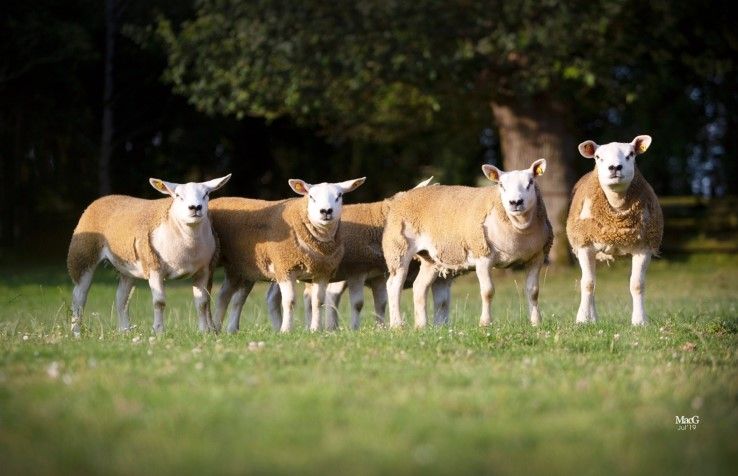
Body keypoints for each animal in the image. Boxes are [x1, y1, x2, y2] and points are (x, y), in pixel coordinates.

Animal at [66, 174, 232, 337]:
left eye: (206, 194)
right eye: (178, 196)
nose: (195, 207)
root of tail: (105, 198)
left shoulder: (203, 270)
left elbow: (202, 302)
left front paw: (204, 333)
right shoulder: (154, 268)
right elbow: (159, 302)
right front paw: (159, 332)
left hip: (128, 267)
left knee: (121, 299)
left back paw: (125, 331)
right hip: (82, 255)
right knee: (79, 297)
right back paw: (76, 333)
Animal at [209, 177, 366, 333]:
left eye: (339, 196)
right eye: (311, 197)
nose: (326, 211)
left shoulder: (322, 272)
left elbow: (317, 302)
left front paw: (315, 329)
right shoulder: (285, 267)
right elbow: (289, 301)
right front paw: (286, 330)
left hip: (243, 268)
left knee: (230, 296)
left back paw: (227, 329)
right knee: (225, 295)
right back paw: (216, 328)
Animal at [382, 160, 553, 328]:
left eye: (530, 182)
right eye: (501, 185)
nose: (515, 202)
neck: (519, 230)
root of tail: (405, 194)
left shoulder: (537, 257)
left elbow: (533, 291)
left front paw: (536, 323)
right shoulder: (482, 255)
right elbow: (487, 291)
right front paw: (485, 323)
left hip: (430, 259)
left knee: (419, 287)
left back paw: (421, 326)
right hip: (398, 248)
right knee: (393, 286)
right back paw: (397, 325)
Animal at [566, 135, 663, 325]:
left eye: (631, 154)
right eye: (598, 157)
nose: (615, 167)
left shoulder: (644, 247)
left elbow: (637, 285)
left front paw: (640, 321)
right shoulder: (584, 245)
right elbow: (587, 284)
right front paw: (582, 319)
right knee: (591, 282)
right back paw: (592, 319)